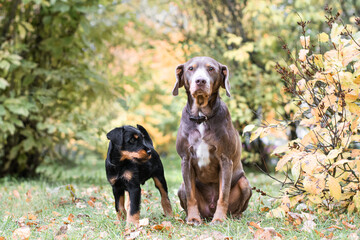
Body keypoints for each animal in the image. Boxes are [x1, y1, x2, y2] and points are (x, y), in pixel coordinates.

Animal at [172, 56, 252, 225]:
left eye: (211, 69)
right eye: (191, 68)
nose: (200, 81)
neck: (201, 117)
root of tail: (209, 211)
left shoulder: (225, 160)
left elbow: (223, 195)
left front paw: (219, 219)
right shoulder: (186, 160)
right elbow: (191, 195)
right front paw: (193, 218)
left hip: (244, 183)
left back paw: (233, 216)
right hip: (181, 187)